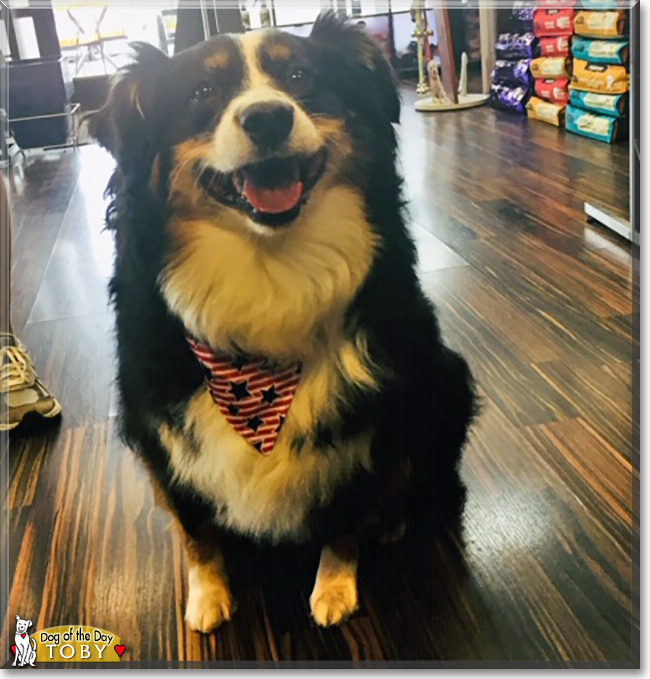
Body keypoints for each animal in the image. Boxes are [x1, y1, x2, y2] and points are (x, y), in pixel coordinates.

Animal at [91, 13, 474, 632]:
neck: (268, 266)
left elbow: (349, 513)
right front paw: (207, 595)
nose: (267, 116)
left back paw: (393, 520)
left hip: (447, 375)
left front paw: (334, 586)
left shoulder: (372, 411)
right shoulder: (158, 423)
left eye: (299, 77)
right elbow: (194, 529)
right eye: (202, 92)